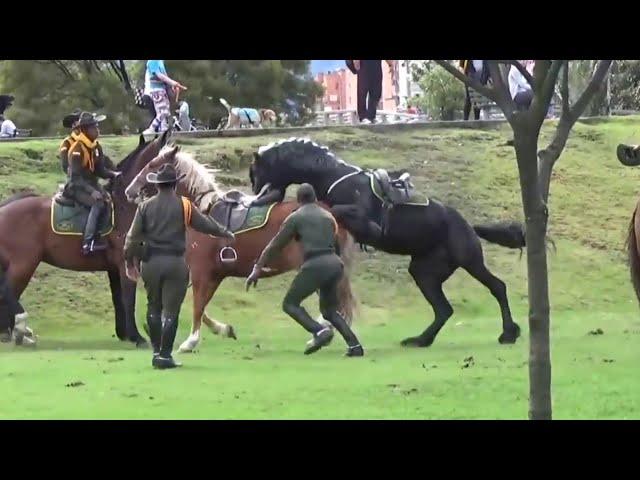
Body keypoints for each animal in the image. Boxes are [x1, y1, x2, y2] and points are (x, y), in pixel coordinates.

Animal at [0, 130, 171, 344]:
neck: (124, 205)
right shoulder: (126, 265)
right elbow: (128, 299)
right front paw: (136, 336)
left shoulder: (114, 269)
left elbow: (118, 300)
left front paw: (124, 334)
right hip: (24, 264)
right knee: (6, 291)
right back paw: (20, 328)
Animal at [122, 143, 358, 352]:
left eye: (153, 166)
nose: (129, 191)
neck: (202, 211)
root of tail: (332, 214)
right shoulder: (214, 275)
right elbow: (201, 307)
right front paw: (224, 329)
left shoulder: (200, 273)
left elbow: (197, 306)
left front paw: (191, 341)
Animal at [248, 137, 528, 346]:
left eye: (256, 172)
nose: (255, 196)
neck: (333, 176)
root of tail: (468, 225)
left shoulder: (358, 216)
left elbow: (341, 212)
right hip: (424, 271)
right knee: (444, 309)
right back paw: (420, 340)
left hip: (470, 261)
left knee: (497, 288)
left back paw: (508, 333)